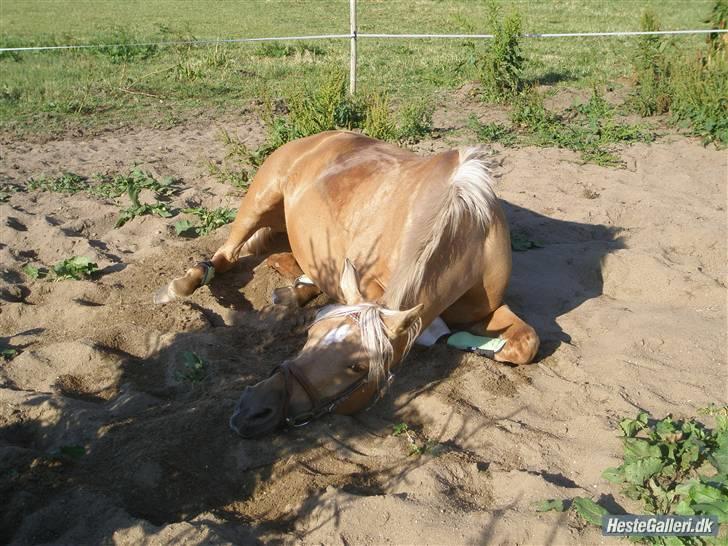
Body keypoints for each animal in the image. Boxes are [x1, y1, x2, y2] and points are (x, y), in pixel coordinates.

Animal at [155, 130, 539, 437]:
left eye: (358, 367)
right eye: (309, 335)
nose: (250, 408)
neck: (468, 229)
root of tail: (317, 138)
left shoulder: (484, 309)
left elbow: (527, 342)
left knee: (276, 255)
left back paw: (295, 290)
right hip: (259, 203)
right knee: (225, 256)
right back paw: (183, 285)